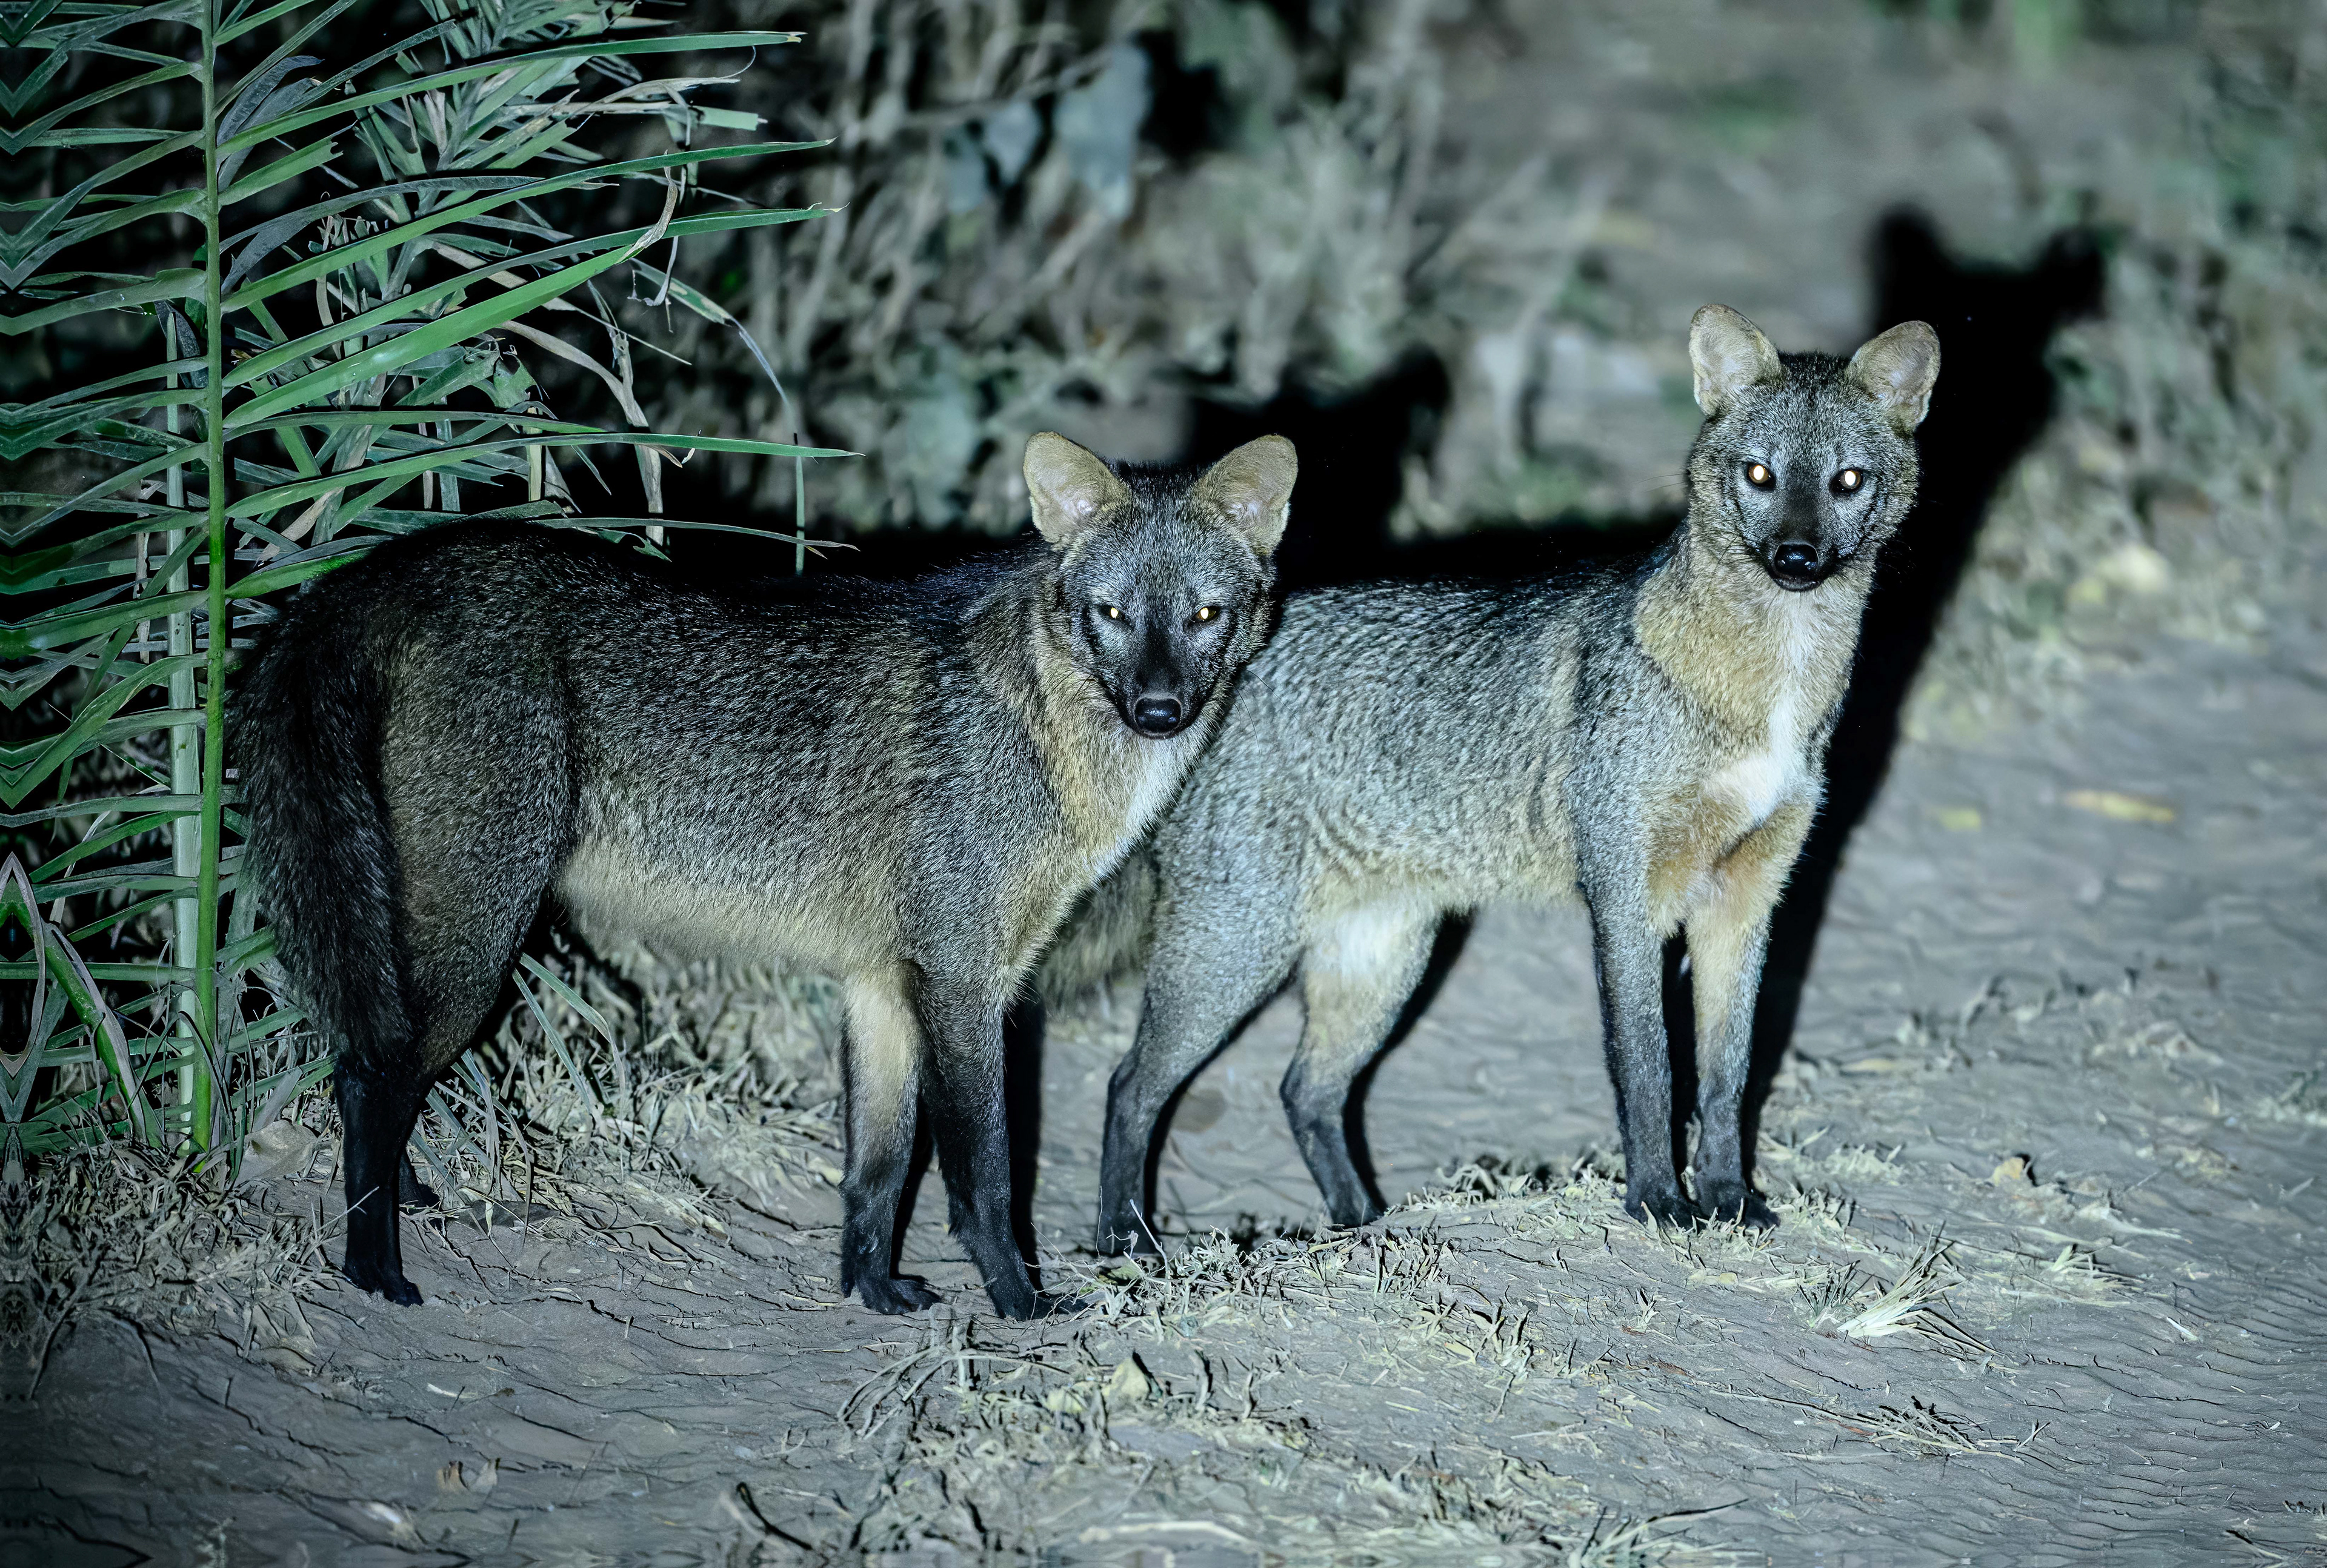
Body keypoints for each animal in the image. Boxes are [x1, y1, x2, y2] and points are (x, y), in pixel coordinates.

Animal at [235, 432, 1297, 1319]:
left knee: (368, 1069)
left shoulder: (882, 988)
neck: (1044, 731)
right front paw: (1019, 1303)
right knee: (368, 1075)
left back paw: (406, 1197)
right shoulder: (964, 987)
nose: (1158, 711)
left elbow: (878, 1168)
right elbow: (984, 1177)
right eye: (1113, 616)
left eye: (1203, 616)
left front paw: (872, 1291)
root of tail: (380, 571)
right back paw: (374, 1267)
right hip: (476, 953)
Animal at [1089, 307, 1939, 1250]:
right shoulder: (1626, 898)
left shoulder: (1746, 901)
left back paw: (1365, 1228)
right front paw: (1658, 1202)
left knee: (1304, 1091)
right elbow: (1649, 1073)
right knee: (1130, 1086)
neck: (1769, 695)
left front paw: (1727, 1200)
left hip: (1383, 964)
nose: (1795, 558)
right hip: (1235, 956)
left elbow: (1727, 1076)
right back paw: (1126, 1243)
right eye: (1760, 474)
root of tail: (1180, 692)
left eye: (1846, 480)